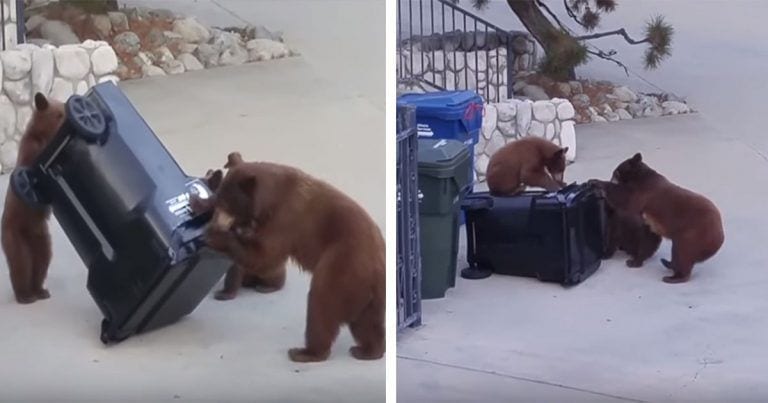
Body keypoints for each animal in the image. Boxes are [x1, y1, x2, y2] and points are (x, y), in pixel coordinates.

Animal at [1, 93, 66, 303]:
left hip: (41, 239)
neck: (42, 135)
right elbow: (34, 160)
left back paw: (41, 291)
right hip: (15, 234)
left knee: (42, 262)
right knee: (21, 263)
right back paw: (25, 295)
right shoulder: (30, 149)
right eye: (59, 114)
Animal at [197, 152, 385, 362]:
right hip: (366, 290)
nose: (217, 223)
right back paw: (368, 350)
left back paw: (306, 352)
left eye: (227, 204)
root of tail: (378, 266)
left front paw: (214, 235)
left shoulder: (285, 219)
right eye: (219, 200)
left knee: (322, 304)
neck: (271, 198)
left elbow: (264, 255)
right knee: (367, 321)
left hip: (342, 264)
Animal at [589, 153, 724, 283]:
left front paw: (595, 181)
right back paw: (667, 264)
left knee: (683, 253)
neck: (641, 177)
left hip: (693, 234)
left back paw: (673, 277)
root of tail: (719, 238)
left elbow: (626, 199)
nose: (611, 177)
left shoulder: (644, 193)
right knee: (677, 253)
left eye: (616, 172)